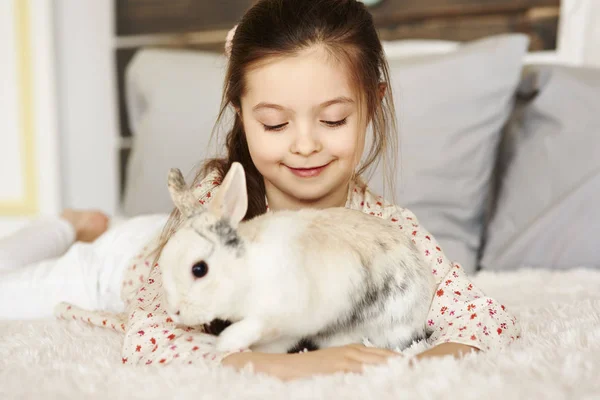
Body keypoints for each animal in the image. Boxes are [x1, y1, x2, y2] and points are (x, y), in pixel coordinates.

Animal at [159, 161, 436, 354]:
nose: (175, 312)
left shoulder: (283, 315)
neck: (245, 268)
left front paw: (227, 342)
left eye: (199, 269)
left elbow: (254, 326)